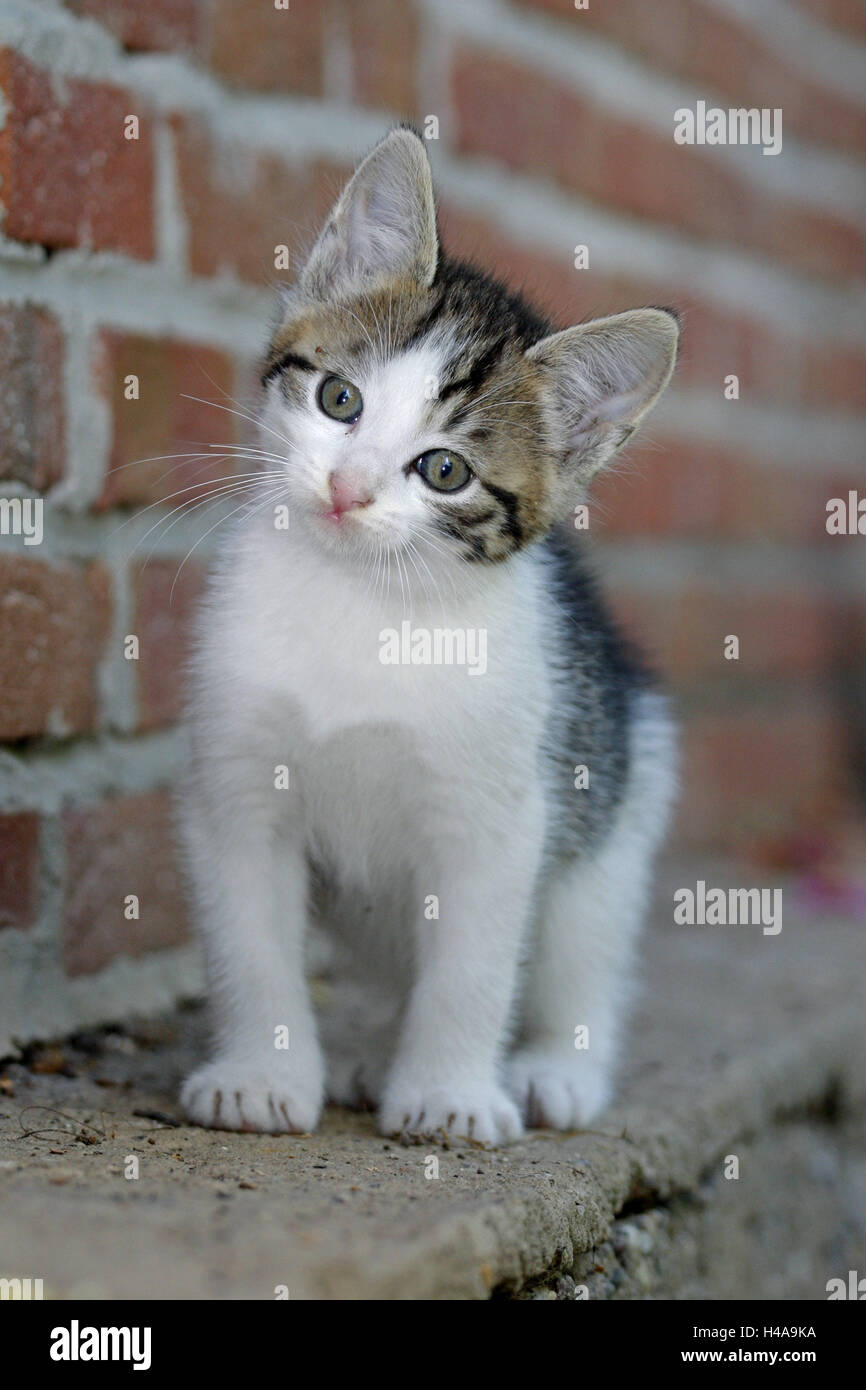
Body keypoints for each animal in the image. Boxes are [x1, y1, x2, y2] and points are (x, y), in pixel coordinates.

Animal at [183, 125, 681, 1139]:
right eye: (339, 399)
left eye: (444, 470)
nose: (348, 489)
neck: (366, 602)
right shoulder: (237, 787)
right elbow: (250, 942)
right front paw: (260, 1074)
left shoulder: (497, 815)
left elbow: (474, 968)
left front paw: (449, 1093)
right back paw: (372, 1049)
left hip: (622, 797)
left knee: (587, 955)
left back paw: (553, 1066)